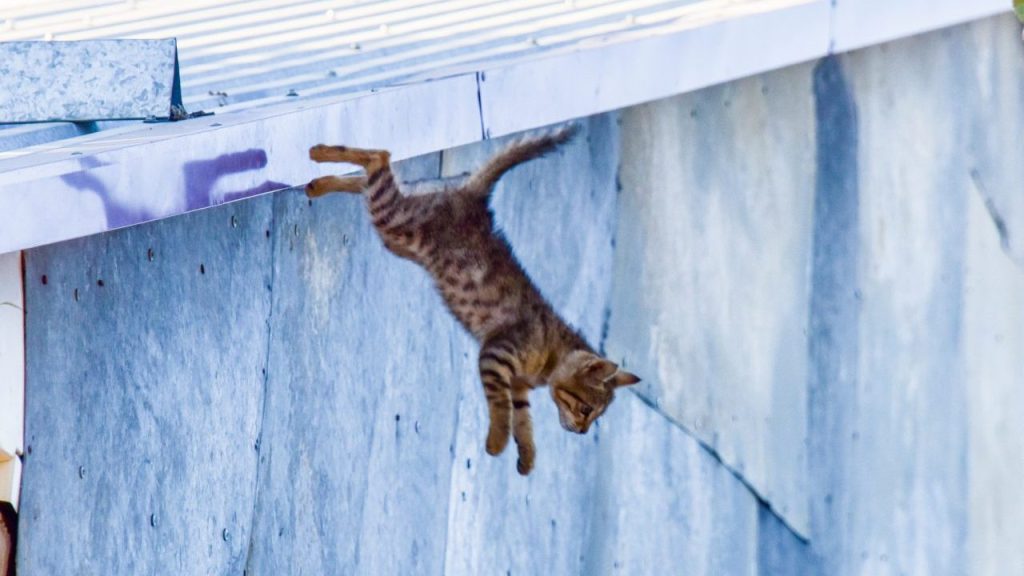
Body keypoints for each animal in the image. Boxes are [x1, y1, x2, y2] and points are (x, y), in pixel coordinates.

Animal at [305, 124, 638, 471]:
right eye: (587, 409)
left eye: (596, 416)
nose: (584, 432)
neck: (549, 357)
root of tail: (474, 198)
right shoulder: (497, 355)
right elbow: (501, 406)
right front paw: (497, 441)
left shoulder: (518, 385)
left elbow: (523, 419)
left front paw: (527, 456)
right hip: (396, 223)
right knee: (379, 158)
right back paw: (321, 154)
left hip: (401, 221)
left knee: (372, 180)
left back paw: (318, 184)